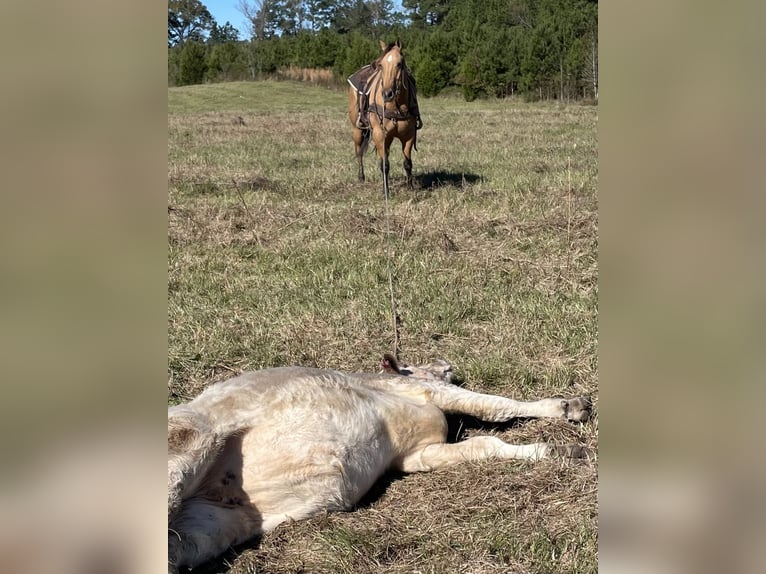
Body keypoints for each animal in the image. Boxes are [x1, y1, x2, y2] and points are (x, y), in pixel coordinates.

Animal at [168, 356, 592, 572]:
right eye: (416, 363)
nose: (448, 363)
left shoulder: (415, 454)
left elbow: (483, 444)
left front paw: (558, 450)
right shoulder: (426, 390)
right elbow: (494, 405)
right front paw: (568, 411)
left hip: (214, 519)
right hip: (190, 442)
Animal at [350, 41, 424, 194]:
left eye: (399, 64)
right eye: (381, 65)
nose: (387, 94)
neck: (395, 106)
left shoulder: (409, 135)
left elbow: (407, 163)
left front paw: (410, 187)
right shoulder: (379, 134)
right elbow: (384, 164)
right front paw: (386, 191)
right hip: (357, 129)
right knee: (359, 152)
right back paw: (361, 176)